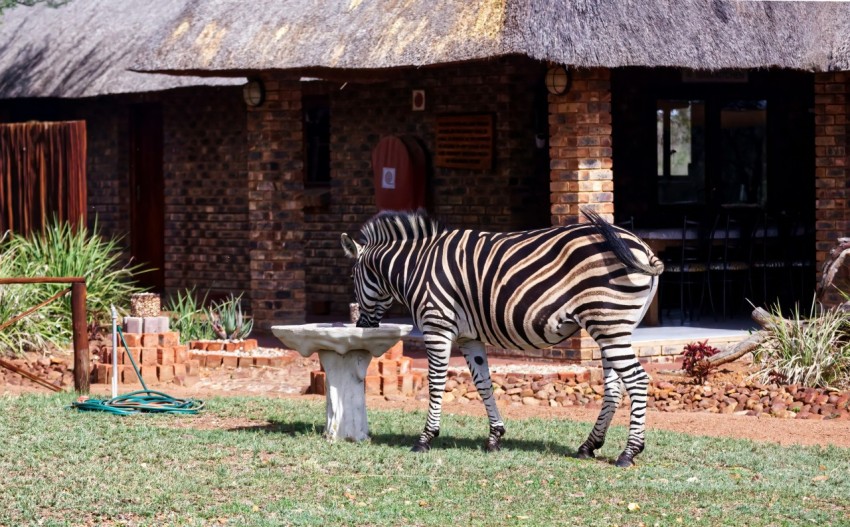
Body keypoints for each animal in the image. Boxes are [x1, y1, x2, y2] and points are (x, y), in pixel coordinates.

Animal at [340, 209, 664, 467]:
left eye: (353, 278)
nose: (361, 325)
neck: (416, 266)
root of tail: (642, 248)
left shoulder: (437, 326)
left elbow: (435, 383)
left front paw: (425, 438)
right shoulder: (469, 336)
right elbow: (483, 383)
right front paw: (495, 437)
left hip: (608, 322)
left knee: (637, 380)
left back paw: (628, 453)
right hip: (612, 326)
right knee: (614, 387)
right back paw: (588, 446)